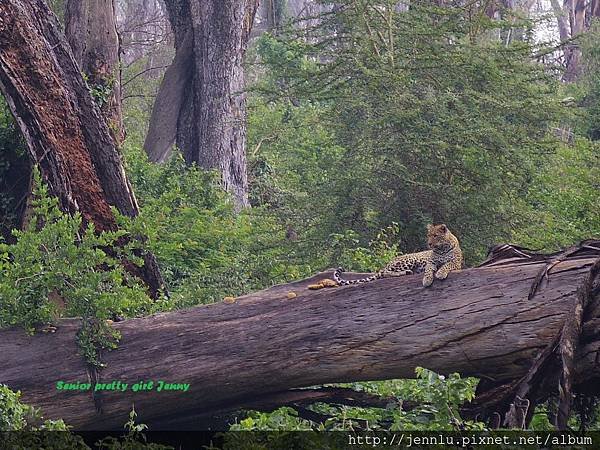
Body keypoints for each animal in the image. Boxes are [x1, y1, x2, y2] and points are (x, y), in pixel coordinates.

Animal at [332, 224, 464, 288]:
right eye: (428, 235)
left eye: (436, 236)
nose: (429, 244)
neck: (442, 249)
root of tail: (387, 263)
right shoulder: (431, 262)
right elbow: (428, 271)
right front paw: (427, 280)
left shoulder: (456, 263)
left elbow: (446, 265)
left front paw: (440, 273)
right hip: (410, 260)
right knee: (385, 273)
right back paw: (404, 272)